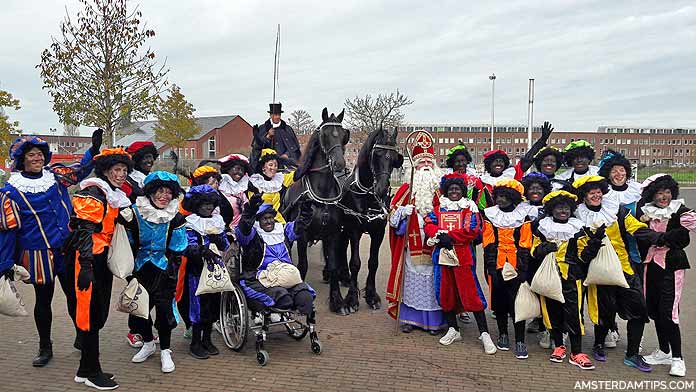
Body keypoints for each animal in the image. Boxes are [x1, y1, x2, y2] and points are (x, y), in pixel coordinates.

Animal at [282, 108, 350, 316]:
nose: (339, 163)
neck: (321, 193)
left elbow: (334, 265)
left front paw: (337, 301)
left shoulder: (333, 234)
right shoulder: (302, 234)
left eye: (344, 135)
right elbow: (302, 265)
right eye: (325, 135)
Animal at [336, 128, 402, 312]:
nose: (381, 189)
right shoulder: (354, 230)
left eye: (394, 157)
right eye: (376, 154)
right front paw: (352, 298)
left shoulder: (378, 232)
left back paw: (344, 277)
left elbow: (373, 262)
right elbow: (355, 262)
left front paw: (372, 296)